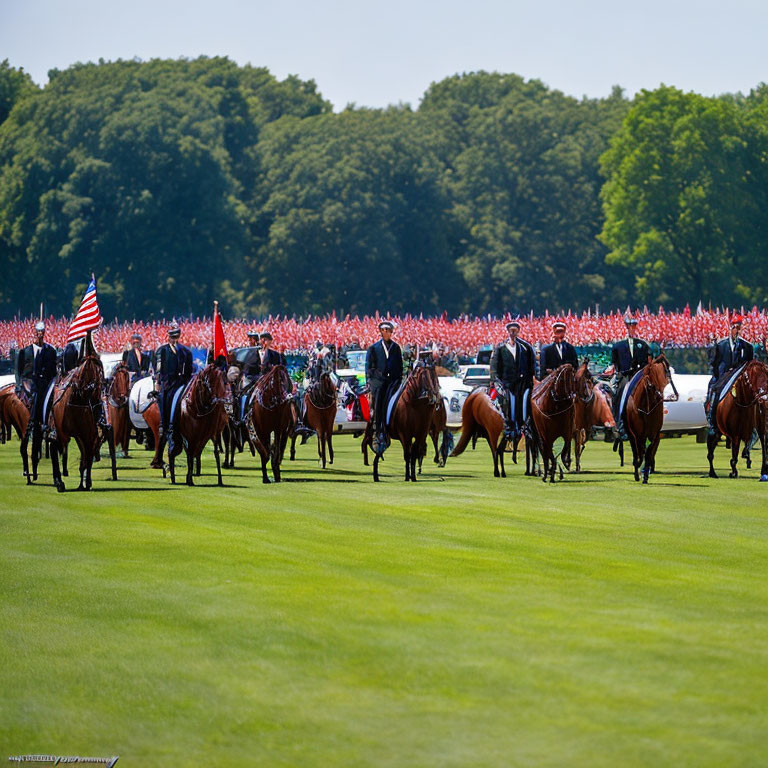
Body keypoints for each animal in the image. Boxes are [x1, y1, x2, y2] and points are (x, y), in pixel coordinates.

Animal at [48, 354, 116, 492]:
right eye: (98, 371)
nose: (99, 408)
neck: (77, 400)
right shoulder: (62, 433)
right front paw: (59, 482)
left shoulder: (88, 435)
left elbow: (87, 458)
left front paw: (87, 482)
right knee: (54, 447)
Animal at [624, 352, 680, 484]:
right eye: (653, 373)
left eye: (668, 372)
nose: (673, 395)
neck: (646, 408)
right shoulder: (636, 434)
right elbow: (639, 451)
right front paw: (638, 470)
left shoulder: (653, 433)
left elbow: (648, 453)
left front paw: (645, 475)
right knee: (637, 450)